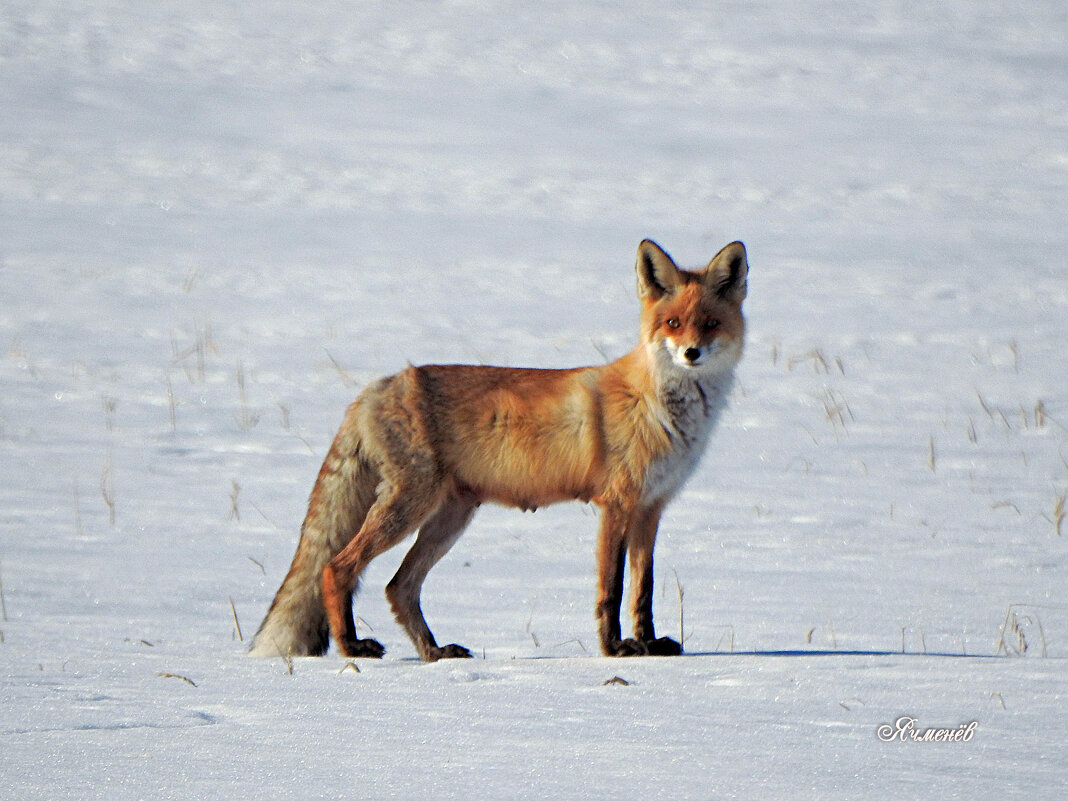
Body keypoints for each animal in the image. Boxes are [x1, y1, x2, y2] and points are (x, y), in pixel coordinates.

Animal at [252, 240, 751, 666]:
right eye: (673, 324)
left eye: (710, 324)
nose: (691, 353)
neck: (659, 407)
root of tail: (377, 387)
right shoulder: (617, 503)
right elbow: (611, 588)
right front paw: (614, 650)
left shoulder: (652, 507)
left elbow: (642, 590)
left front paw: (648, 644)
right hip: (410, 507)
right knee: (337, 569)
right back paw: (351, 647)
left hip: (449, 518)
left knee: (399, 587)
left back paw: (434, 652)